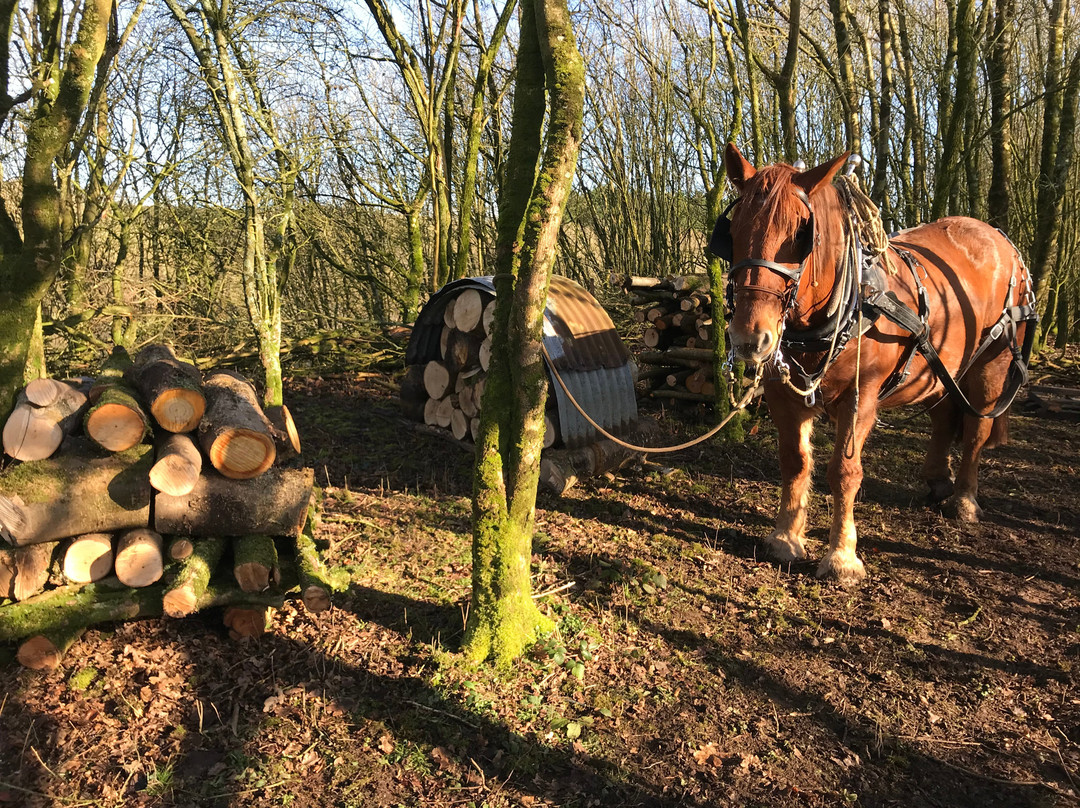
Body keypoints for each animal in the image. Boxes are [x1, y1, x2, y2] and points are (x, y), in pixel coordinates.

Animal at [717, 143, 1036, 587]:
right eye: (733, 231)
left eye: (801, 235)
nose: (750, 338)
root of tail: (1000, 239)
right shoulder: (784, 396)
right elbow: (794, 462)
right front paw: (785, 537)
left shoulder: (861, 396)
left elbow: (845, 472)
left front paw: (842, 556)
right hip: (939, 369)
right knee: (943, 418)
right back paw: (938, 480)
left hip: (992, 362)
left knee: (976, 429)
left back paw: (965, 500)